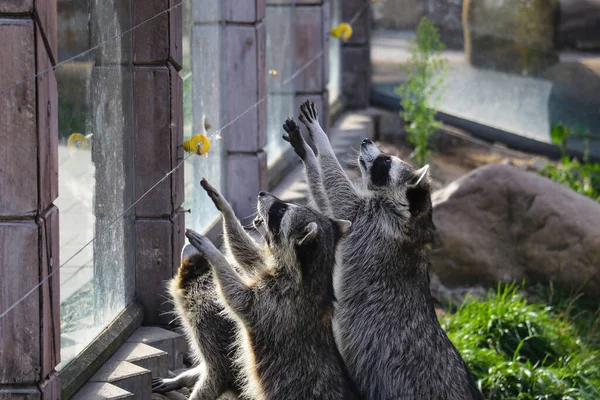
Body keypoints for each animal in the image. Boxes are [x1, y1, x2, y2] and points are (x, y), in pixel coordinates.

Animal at [185, 179, 358, 400]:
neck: (313, 270)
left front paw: (214, 254)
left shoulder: (276, 303)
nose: (261, 193)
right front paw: (225, 208)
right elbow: (248, 255)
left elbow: (238, 298)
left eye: (282, 210)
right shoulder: (270, 273)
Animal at [288, 101, 482, 400]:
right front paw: (306, 151)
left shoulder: (370, 220)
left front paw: (319, 138)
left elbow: (336, 191)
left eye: (387, 161)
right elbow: (324, 198)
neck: (413, 218)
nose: (367, 141)